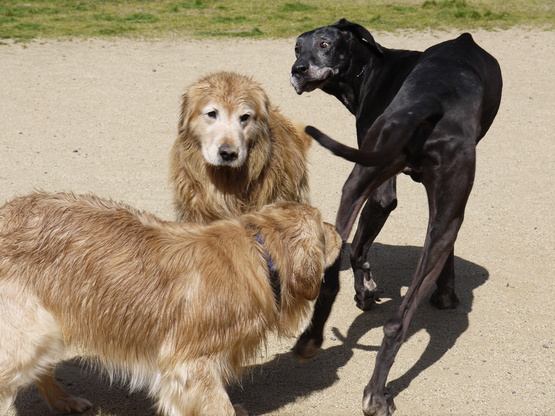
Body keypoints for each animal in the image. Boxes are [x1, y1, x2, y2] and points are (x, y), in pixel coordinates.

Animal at [0, 192, 340, 416]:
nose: (338, 229)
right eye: (321, 226)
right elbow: (218, 405)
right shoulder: (189, 364)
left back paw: (63, 400)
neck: (262, 252)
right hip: (27, 331)